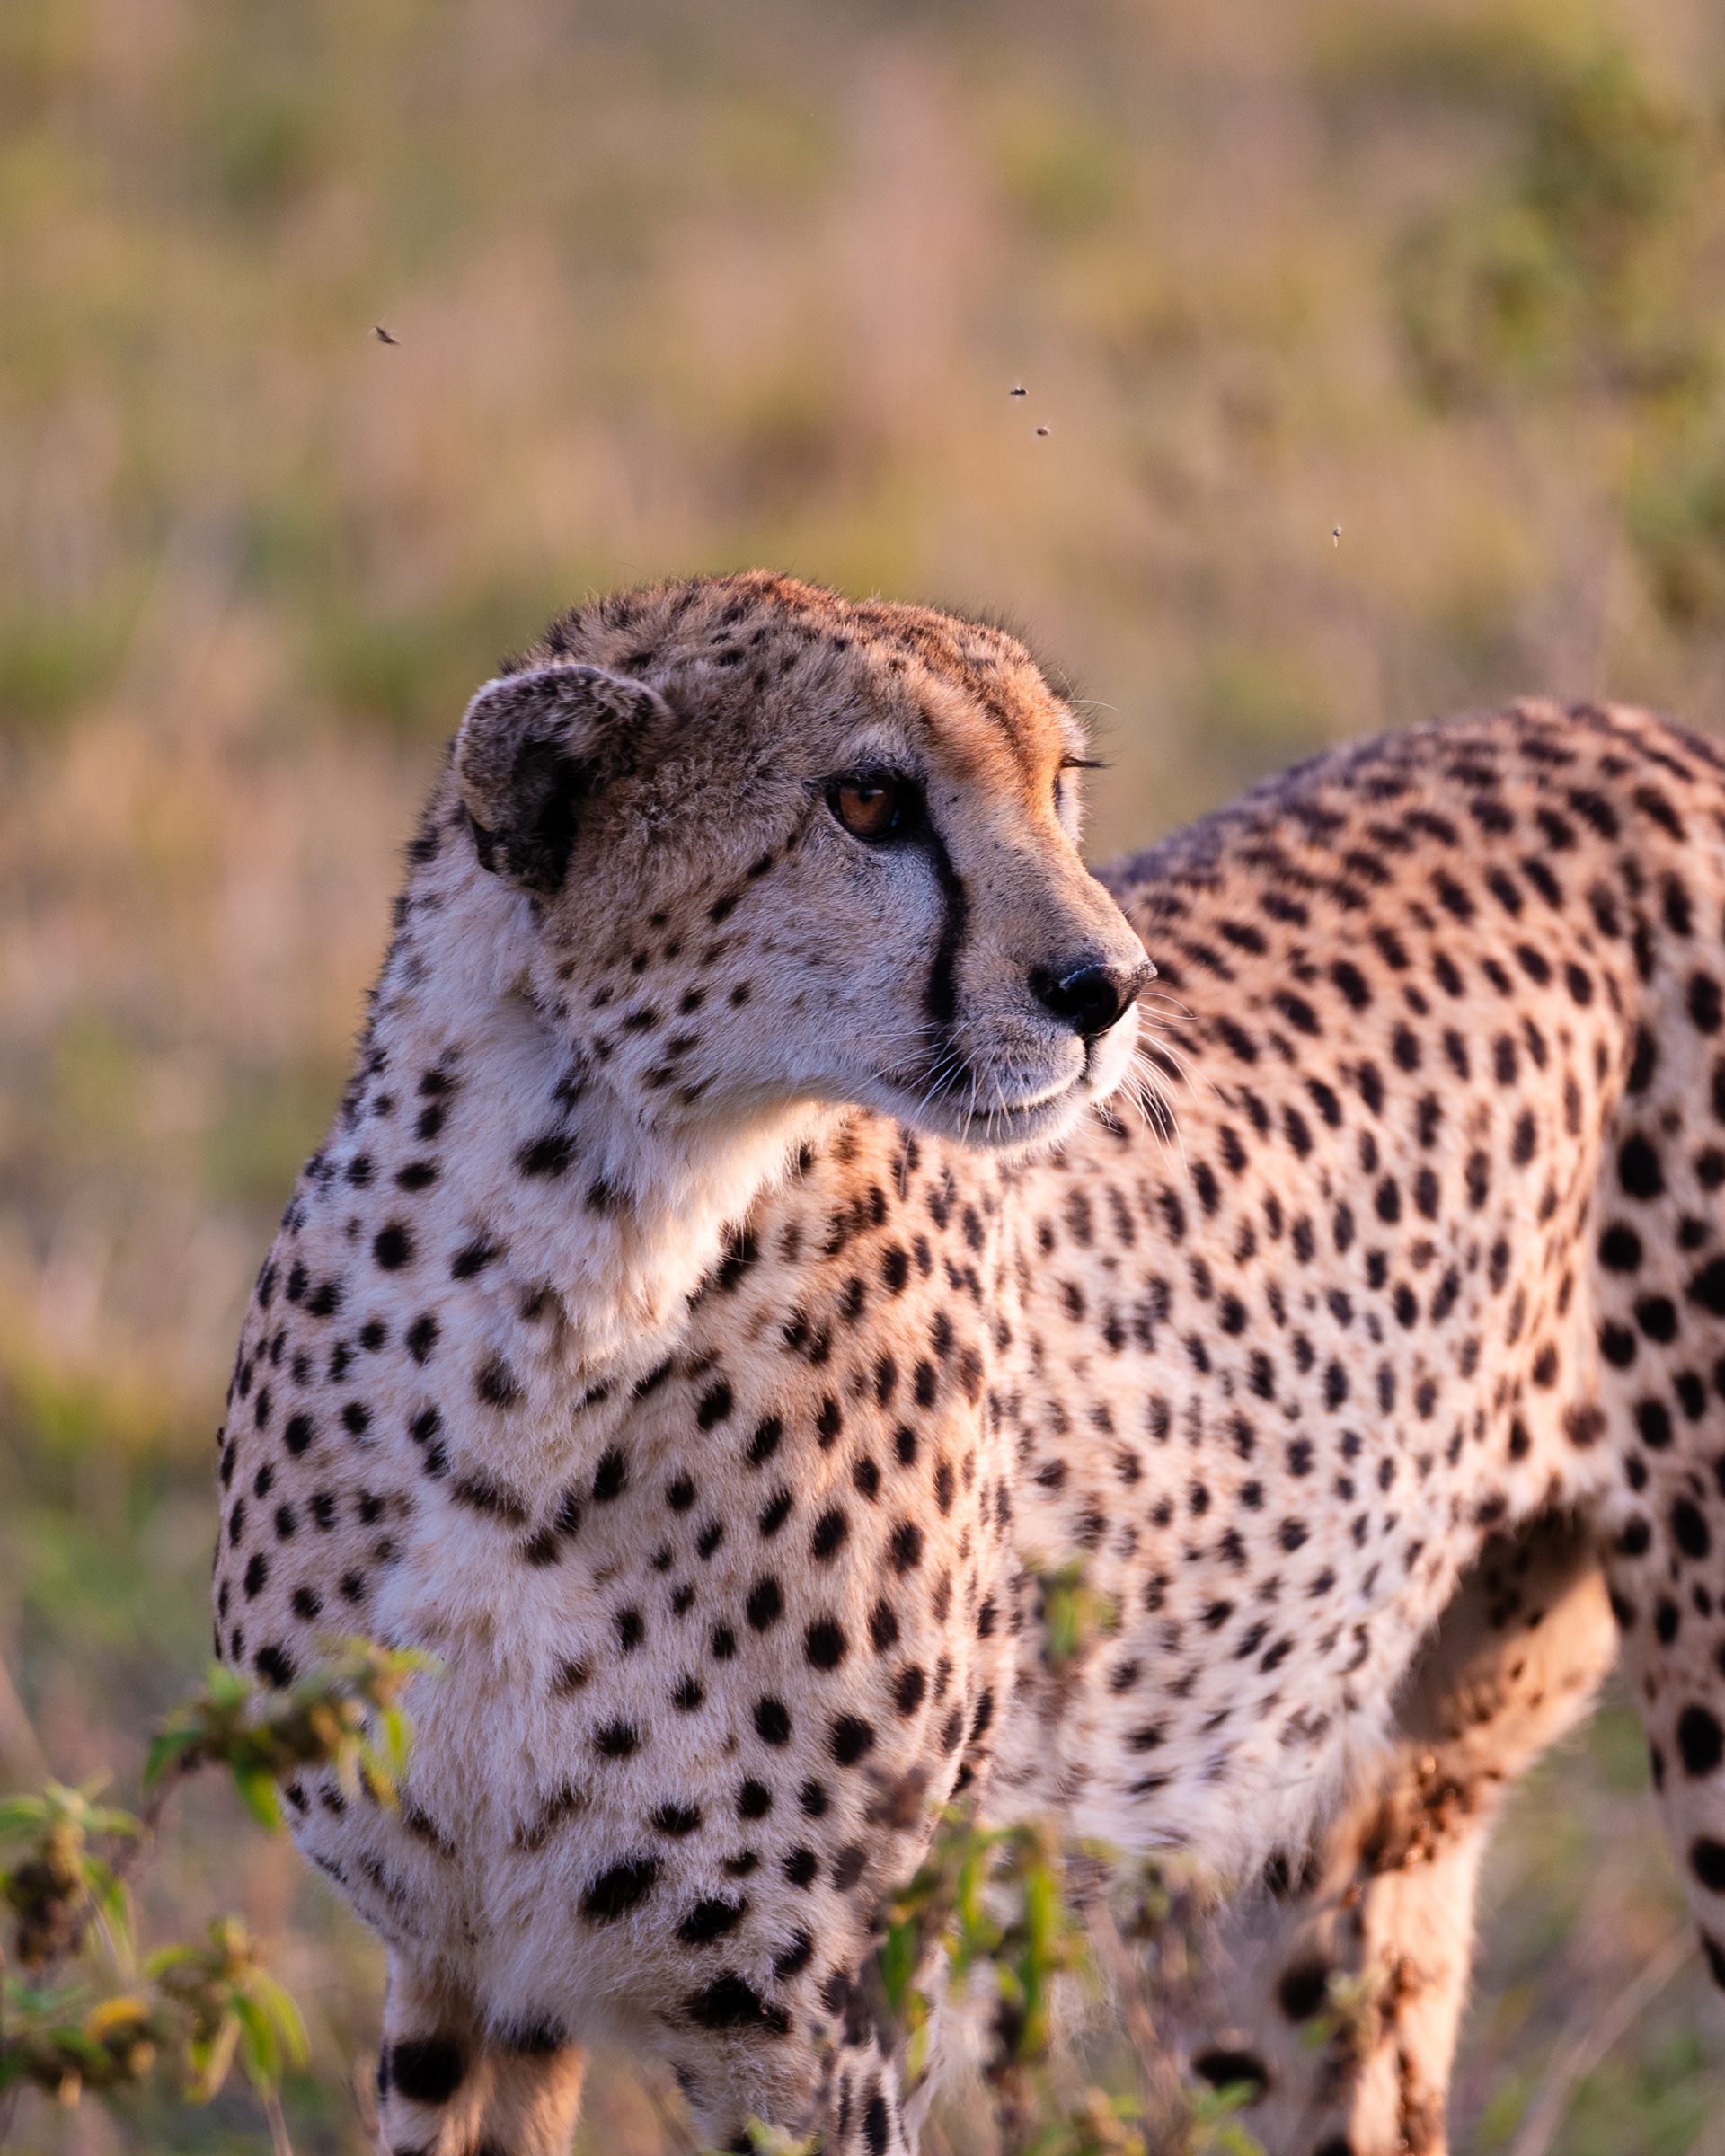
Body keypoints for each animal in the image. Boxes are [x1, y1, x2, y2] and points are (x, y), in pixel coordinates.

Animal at [211, 567, 1725, 2156]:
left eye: (1059, 786)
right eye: (870, 802)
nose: (1110, 986)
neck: (568, 1293)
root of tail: (1634, 731)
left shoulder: (815, 2032)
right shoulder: (462, 1963)